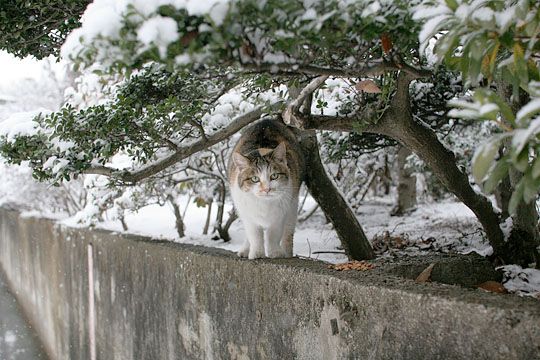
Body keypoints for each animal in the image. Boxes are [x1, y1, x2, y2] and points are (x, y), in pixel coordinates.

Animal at [227, 119, 304, 258]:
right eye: (254, 179)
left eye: (274, 176)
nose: (266, 189)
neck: (264, 203)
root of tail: (268, 120)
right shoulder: (247, 214)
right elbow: (254, 234)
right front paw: (257, 253)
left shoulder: (281, 213)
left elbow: (274, 233)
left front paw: (275, 253)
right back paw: (245, 250)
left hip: (293, 206)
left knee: (288, 231)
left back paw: (287, 252)